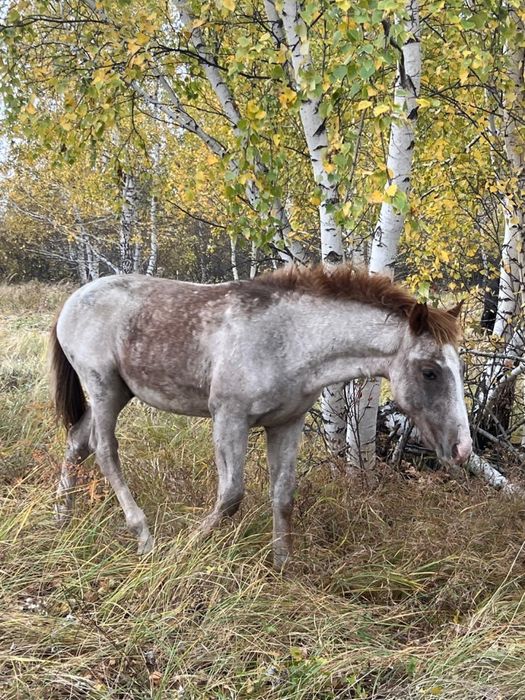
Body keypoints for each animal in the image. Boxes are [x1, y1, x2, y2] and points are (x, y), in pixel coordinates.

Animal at [50, 265, 472, 569]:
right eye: (430, 372)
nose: (462, 448)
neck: (289, 339)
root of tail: (72, 301)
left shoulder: (286, 424)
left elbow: (283, 495)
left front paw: (283, 567)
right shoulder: (229, 419)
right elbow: (231, 496)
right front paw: (183, 550)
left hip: (118, 394)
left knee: (77, 441)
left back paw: (62, 516)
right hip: (103, 388)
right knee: (104, 450)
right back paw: (143, 536)